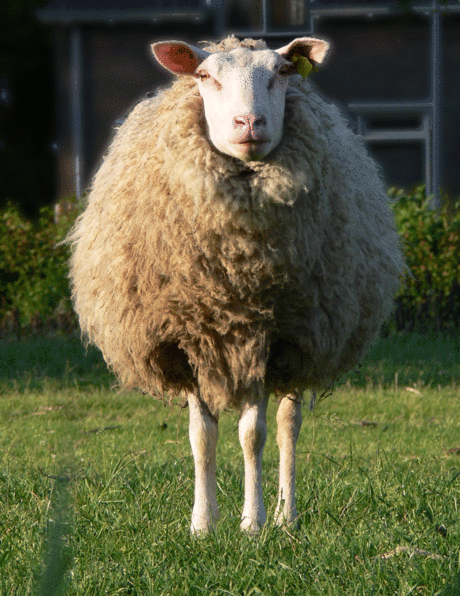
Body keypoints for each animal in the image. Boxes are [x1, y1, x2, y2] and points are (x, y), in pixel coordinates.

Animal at [66, 35, 404, 532]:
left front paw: (252, 522)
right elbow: (201, 436)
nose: (249, 122)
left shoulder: (267, 337)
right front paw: (203, 524)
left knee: (287, 425)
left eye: (282, 72)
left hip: (304, 339)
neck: (234, 278)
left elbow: (254, 435)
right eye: (206, 77)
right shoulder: (187, 337)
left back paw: (286, 516)